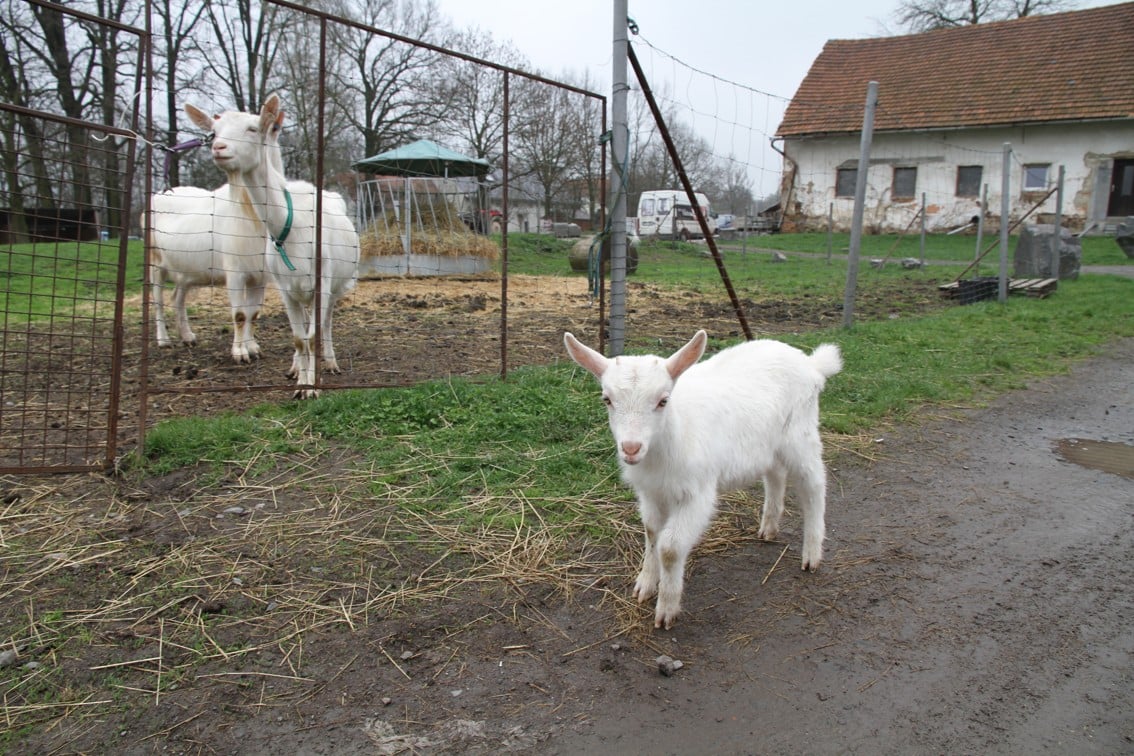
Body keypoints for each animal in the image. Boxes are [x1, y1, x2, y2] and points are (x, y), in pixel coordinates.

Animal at [147, 118, 285, 362]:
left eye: (272, 128)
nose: (220, 148)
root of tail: (162, 192)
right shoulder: (234, 270)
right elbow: (240, 314)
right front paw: (240, 353)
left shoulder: (260, 273)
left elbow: (253, 313)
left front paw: (253, 348)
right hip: (155, 261)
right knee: (158, 300)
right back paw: (163, 340)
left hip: (186, 270)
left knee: (177, 297)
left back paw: (187, 337)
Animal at [184, 96, 358, 396]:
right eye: (214, 133)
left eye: (253, 128)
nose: (219, 148)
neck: (289, 227)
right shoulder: (286, 288)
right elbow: (299, 339)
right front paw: (302, 384)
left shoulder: (321, 282)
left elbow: (313, 336)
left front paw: (313, 388)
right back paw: (296, 367)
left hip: (335, 286)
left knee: (326, 323)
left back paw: (330, 362)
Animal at [567, 330, 843, 634]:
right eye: (607, 399)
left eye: (663, 400)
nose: (631, 448)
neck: (670, 437)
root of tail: (811, 365)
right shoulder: (650, 492)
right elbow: (651, 532)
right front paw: (645, 584)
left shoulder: (697, 493)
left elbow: (670, 548)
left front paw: (667, 608)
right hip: (768, 444)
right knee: (775, 474)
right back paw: (769, 527)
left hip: (800, 435)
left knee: (814, 484)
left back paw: (812, 555)